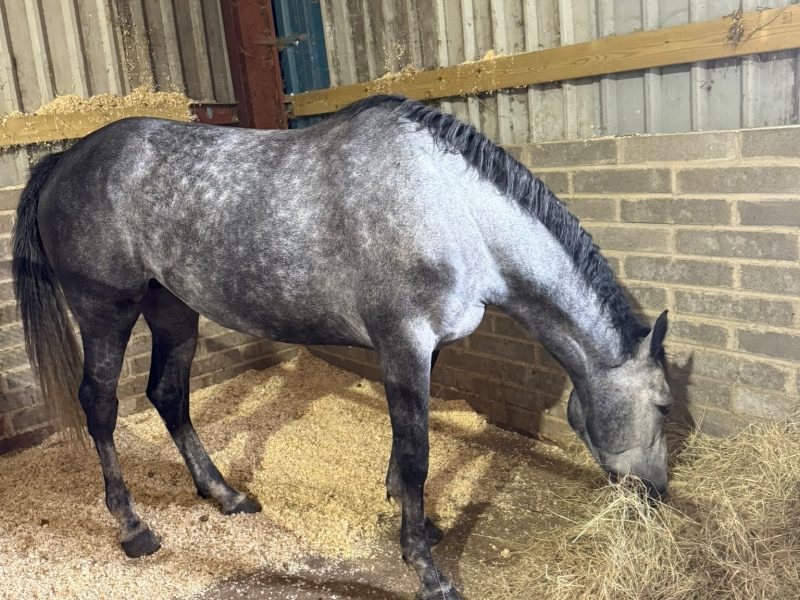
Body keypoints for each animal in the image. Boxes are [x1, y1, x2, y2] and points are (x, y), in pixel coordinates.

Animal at [12, 94, 672, 600]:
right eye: (665, 405)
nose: (658, 494)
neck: (451, 208)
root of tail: (67, 157)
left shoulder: (425, 348)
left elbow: (408, 446)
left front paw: (418, 523)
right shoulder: (404, 342)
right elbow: (417, 453)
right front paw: (426, 569)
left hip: (171, 307)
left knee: (169, 394)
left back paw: (225, 495)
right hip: (107, 312)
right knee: (100, 405)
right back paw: (133, 528)